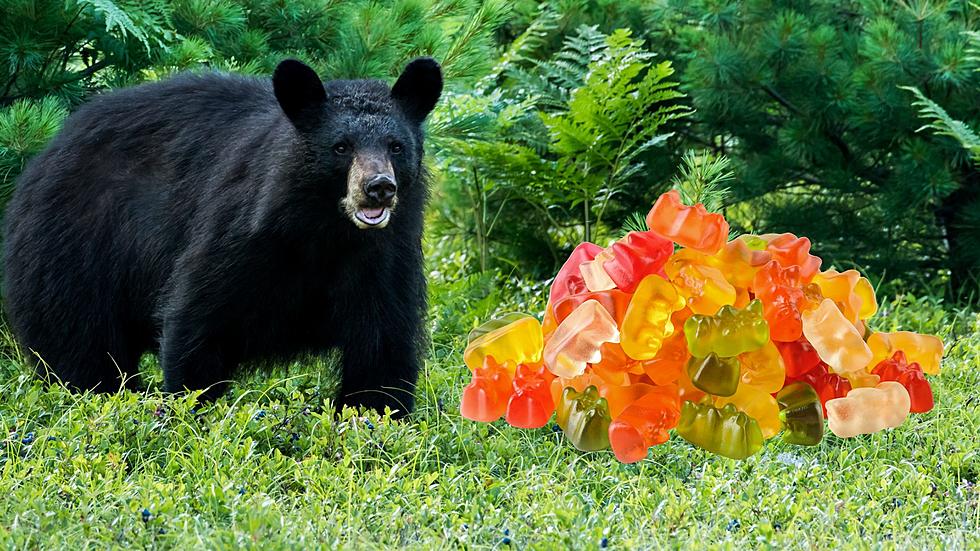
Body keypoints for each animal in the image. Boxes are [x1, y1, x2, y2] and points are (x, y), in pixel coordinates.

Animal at [5, 57, 442, 418]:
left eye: (396, 146)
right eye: (341, 147)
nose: (379, 187)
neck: (326, 232)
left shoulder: (384, 256)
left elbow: (381, 347)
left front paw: (376, 418)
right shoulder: (242, 232)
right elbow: (199, 317)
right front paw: (189, 411)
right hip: (76, 249)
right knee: (81, 343)